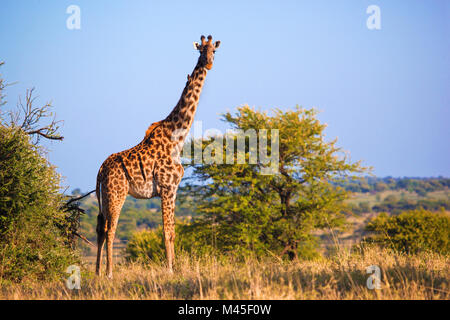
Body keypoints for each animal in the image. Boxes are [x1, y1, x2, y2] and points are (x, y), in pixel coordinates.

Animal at [96, 34, 221, 276]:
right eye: (200, 50)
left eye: (215, 51)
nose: (209, 63)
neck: (177, 138)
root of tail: (99, 170)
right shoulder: (167, 187)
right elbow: (167, 232)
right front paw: (170, 270)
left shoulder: (173, 189)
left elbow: (172, 232)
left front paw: (173, 267)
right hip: (116, 194)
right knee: (110, 230)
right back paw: (109, 273)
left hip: (104, 197)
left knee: (100, 229)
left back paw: (97, 273)